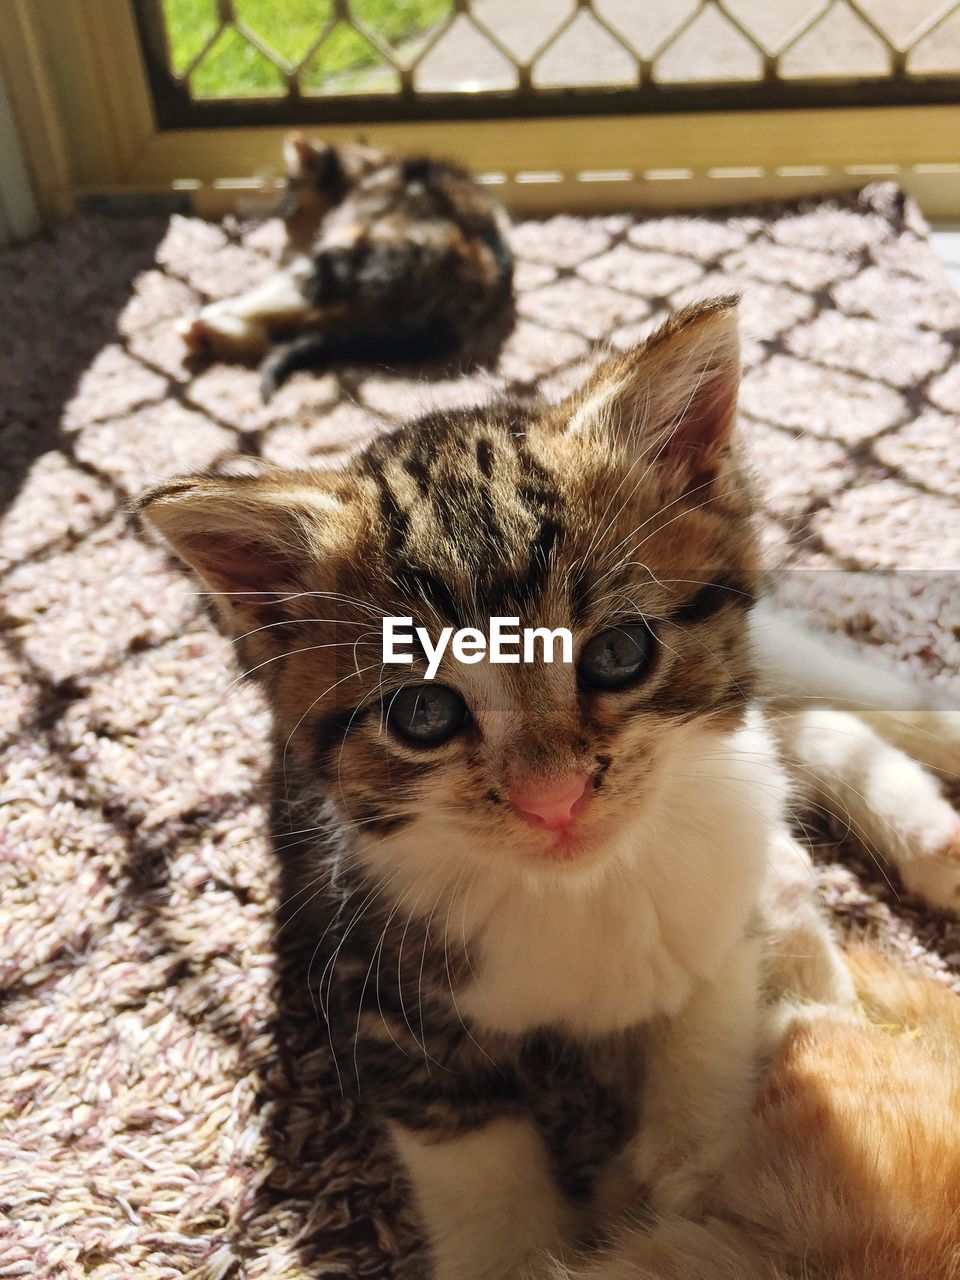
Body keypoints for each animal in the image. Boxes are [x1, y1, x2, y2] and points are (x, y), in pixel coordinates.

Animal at [138, 302, 957, 1280]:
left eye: (618, 653)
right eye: (423, 712)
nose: (554, 797)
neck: (584, 891)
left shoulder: (719, 870)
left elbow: (718, 980)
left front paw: (691, 1143)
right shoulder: (369, 973)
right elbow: (468, 1149)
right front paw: (527, 1243)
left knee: (822, 698)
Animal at [177, 135, 514, 399]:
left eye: (289, 202)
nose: (285, 236)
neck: (375, 165)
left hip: (340, 263)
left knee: (280, 310)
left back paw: (199, 325)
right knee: (288, 331)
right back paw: (205, 334)